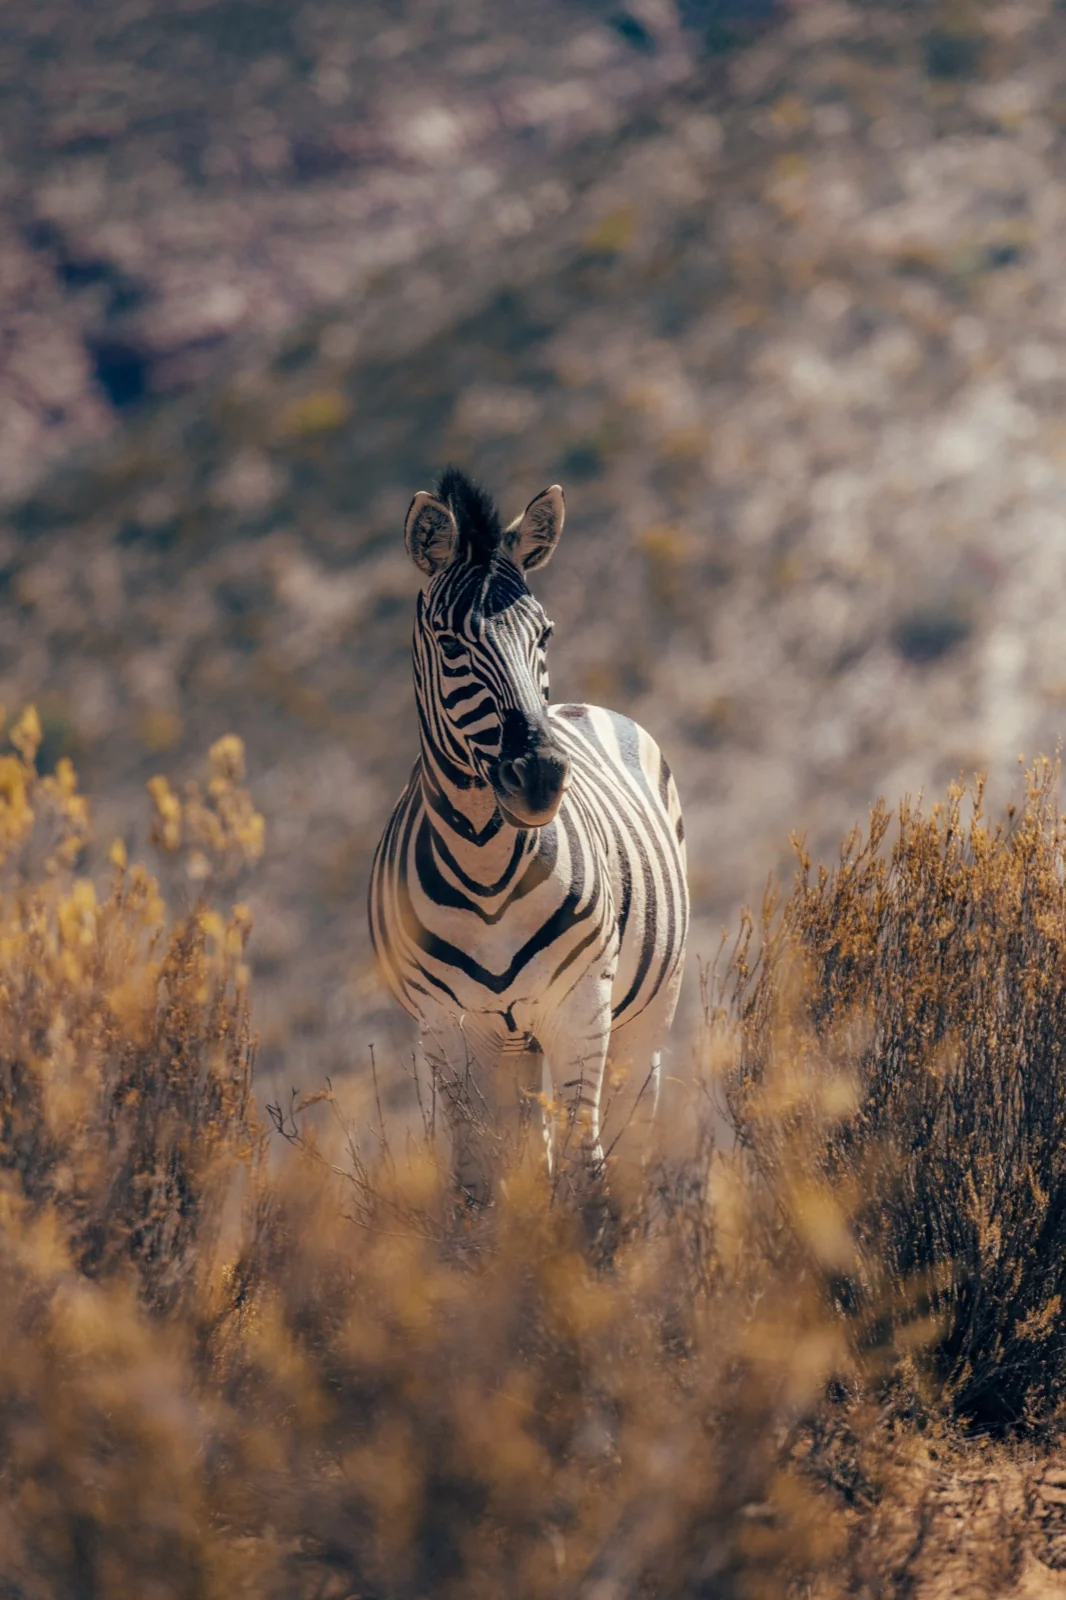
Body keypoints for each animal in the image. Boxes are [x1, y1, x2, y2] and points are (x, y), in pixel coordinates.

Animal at [368, 467, 688, 1202]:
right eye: (451, 644)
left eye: (544, 635)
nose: (540, 774)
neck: (486, 870)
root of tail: (576, 706)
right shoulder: (446, 1028)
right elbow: (479, 1185)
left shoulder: (579, 1007)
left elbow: (583, 1171)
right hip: (512, 1046)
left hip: (641, 1017)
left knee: (633, 1141)